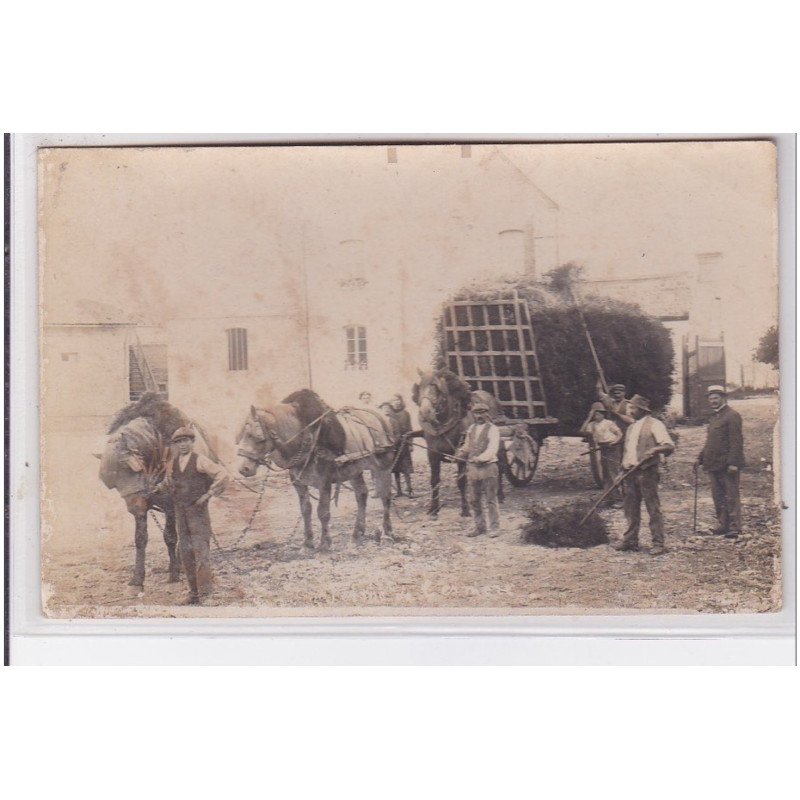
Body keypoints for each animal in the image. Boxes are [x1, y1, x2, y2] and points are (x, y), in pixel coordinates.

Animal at [97, 394, 189, 588]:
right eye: (113, 484)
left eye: (131, 468)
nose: (132, 508)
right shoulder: (141, 505)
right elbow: (140, 539)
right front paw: (137, 577)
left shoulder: (170, 504)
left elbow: (170, 536)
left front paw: (174, 573)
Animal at [238, 388, 400, 552]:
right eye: (242, 435)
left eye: (256, 436)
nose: (244, 469)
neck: (307, 438)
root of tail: (381, 416)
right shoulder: (299, 483)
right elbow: (306, 510)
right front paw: (308, 543)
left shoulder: (324, 482)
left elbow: (323, 512)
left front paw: (324, 544)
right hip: (354, 469)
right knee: (361, 495)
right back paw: (356, 535)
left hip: (383, 466)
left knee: (385, 497)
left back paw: (387, 534)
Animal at [412, 368, 506, 520]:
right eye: (418, 387)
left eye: (436, 386)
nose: (425, 412)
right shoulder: (432, 453)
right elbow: (434, 481)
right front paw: (433, 509)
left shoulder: (461, 452)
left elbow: (461, 482)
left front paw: (465, 509)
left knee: (500, 466)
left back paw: (500, 494)